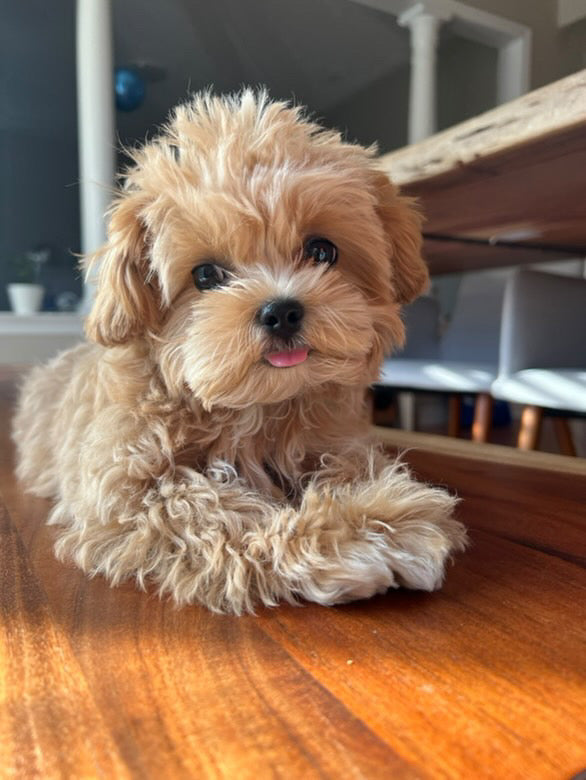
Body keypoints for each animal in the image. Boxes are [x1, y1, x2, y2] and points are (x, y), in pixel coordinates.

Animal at [13, 91, 466, 612]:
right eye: (206, 275)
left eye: (322, 251)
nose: (281, 311)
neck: (255, 408)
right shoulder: (121, 492)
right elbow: (206, 508)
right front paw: (351, 537)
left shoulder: (333, 440)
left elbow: (348, 464)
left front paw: (373, 506)